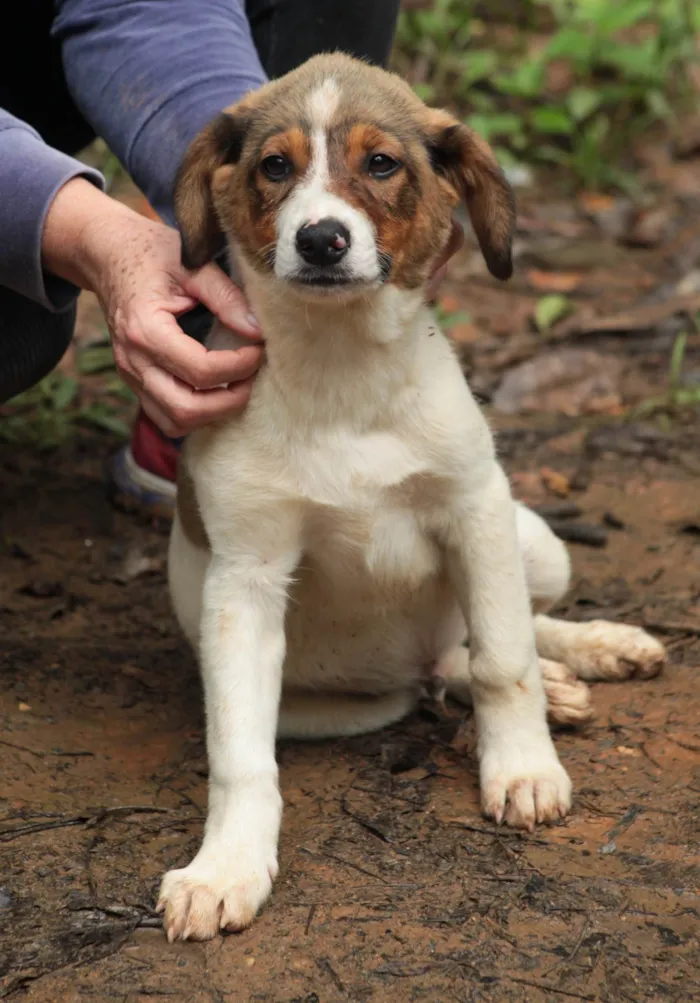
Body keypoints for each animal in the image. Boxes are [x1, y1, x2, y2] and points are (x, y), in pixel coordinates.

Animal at [155, 54, 661, 942]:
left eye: (382, 163)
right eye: (275, 167)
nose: (322, 239)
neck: (344, 371)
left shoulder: (476, 510)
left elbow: (504, 659)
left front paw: (522, 766)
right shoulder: (244, 579)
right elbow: (241, 757)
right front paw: (225, 867)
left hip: (537, 543)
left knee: (508, 628)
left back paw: (592, 651)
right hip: (334, 699)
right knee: (441, 668)